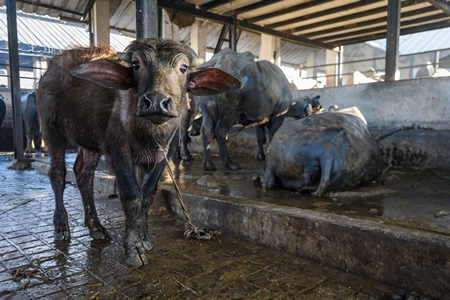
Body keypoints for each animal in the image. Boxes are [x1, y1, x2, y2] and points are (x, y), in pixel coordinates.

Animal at [37, 38, 243, 268]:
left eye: (183, 68)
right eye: (136, 64)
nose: (156, 102)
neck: (149, 132)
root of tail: (52, 67)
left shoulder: (163, 156)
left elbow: (147, 195)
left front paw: (144, 238)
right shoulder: (118, 151)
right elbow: (132, 195)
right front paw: (133, 247)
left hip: (89, 140)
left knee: (83, 173)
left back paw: (96, 227)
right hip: (51, 127)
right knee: (58, 174)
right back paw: (61, 226)